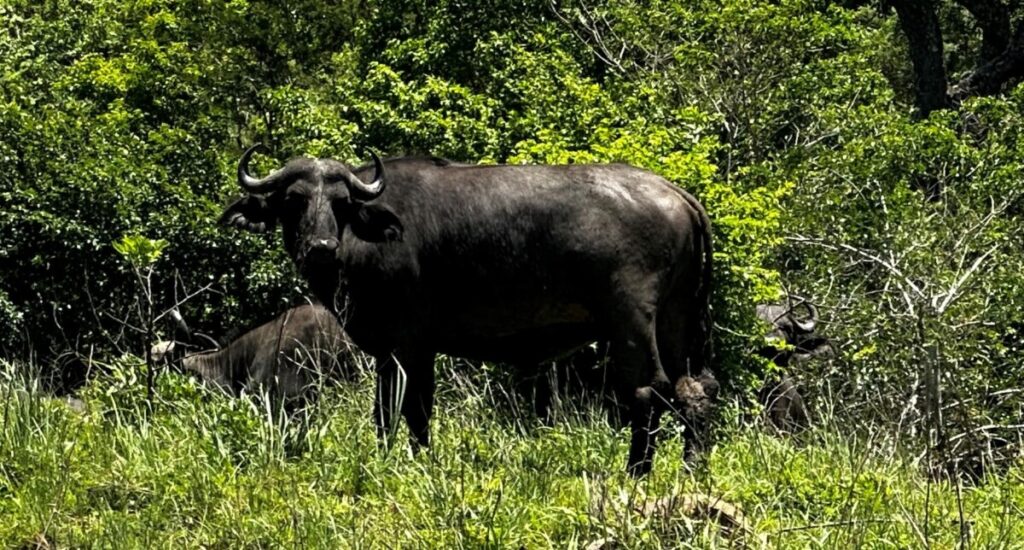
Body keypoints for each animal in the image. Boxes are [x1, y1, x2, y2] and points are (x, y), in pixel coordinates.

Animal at [216, 145, 712, 475]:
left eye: (341, 203)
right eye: (293, 200)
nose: (320, 247)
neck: (366, 239)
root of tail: (674, 192)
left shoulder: (404, 347)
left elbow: (402, 409)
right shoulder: (402, 351)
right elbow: (401, 410)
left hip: (631, 321)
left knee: (649, 391)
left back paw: (637, 472)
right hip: (676, 319)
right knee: (692, 390)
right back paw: (692, 469)